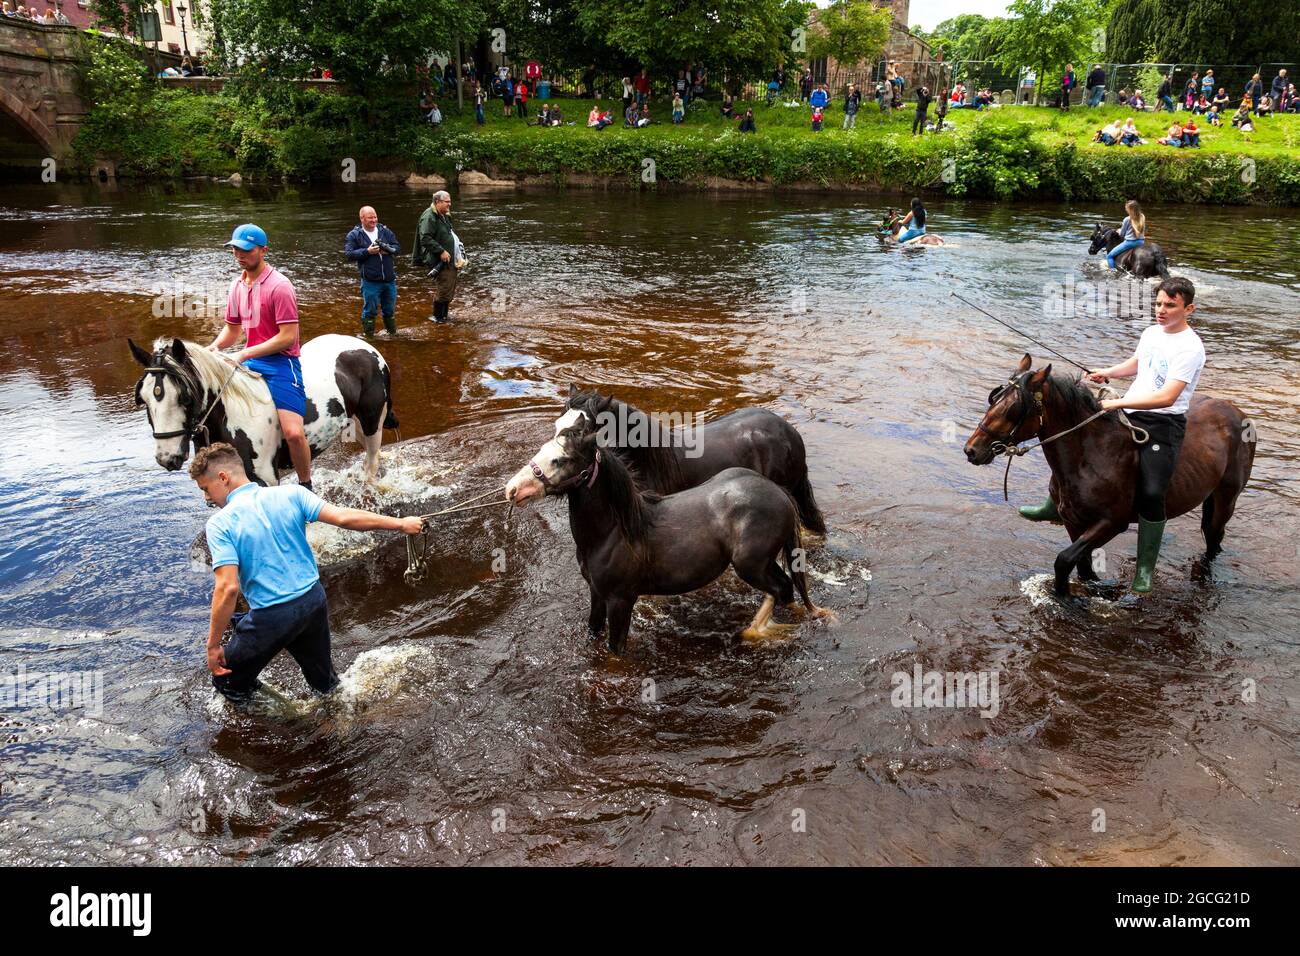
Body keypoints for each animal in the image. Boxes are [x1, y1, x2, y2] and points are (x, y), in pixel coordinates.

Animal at [131, 335, 397, 486]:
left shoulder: (266, 477)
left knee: (372, 460)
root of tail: (366, 348)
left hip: (372, 420)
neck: (233, 416)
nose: (167, 458)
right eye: (143, 399)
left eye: (184, 397)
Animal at [967, 356, 1248, 598]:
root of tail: (1237, 412)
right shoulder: (1073, 520)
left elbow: (1064, 561)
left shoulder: (1112, 522)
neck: (1091, 459)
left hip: (1225, 500)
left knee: (1213, 540)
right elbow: (1082, 566)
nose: (971, 450)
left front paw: (1063, 597)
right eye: (994, 399)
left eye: (1013, 409)